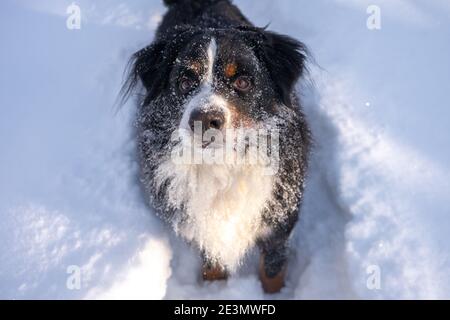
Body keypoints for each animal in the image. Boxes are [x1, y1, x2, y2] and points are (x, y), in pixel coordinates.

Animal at [123, 0, 312, 294]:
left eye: (243, 82)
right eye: (185, 81)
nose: (204, 119)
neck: (223, 163)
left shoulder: (279, 223)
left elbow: (273, 271)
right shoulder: (202, 226)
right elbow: (212, 265)